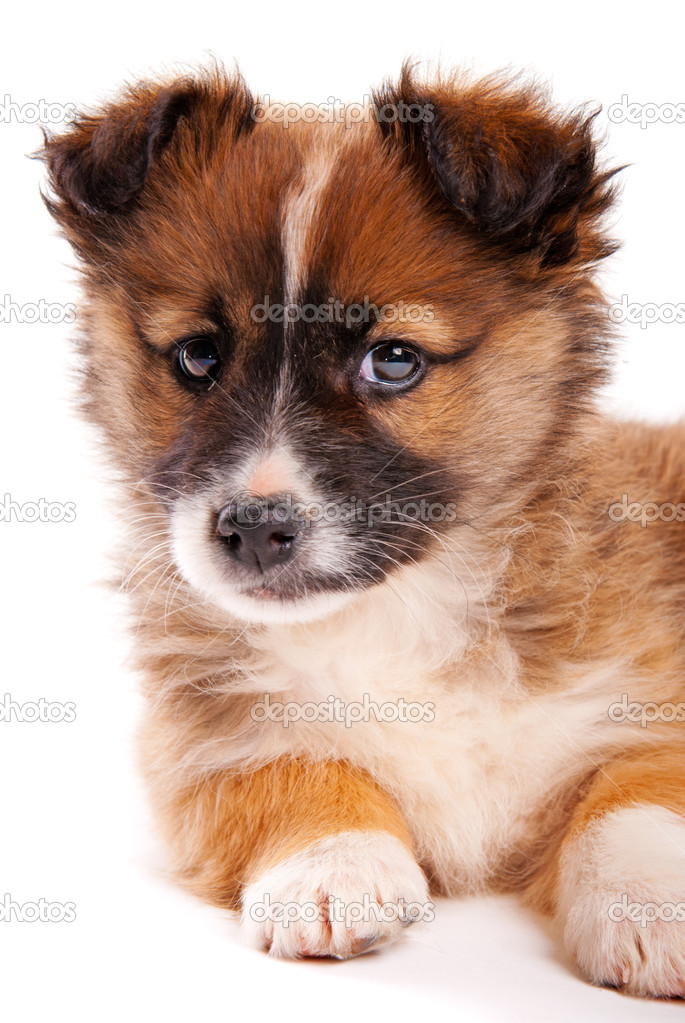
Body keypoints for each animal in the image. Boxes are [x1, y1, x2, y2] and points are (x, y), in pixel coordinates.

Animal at [41, 65, 685, 998]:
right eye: (198, 356)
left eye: (393, 359)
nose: (254, 529)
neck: (402, 608)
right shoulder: (202, 734)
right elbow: (287, 765)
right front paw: (331, 863)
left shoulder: (646, 688)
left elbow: (637, 788)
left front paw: (651, 904)